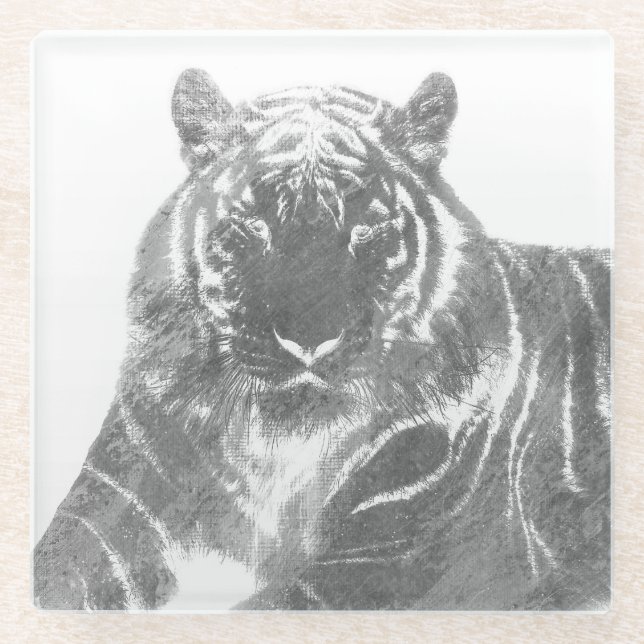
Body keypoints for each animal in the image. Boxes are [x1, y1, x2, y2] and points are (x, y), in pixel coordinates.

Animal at [34, 68, 611, 611]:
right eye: (254, 225)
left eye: (364, 229)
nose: (309, 343)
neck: (279, 448)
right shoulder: (113, 498)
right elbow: (54, 572)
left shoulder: (400, 552)